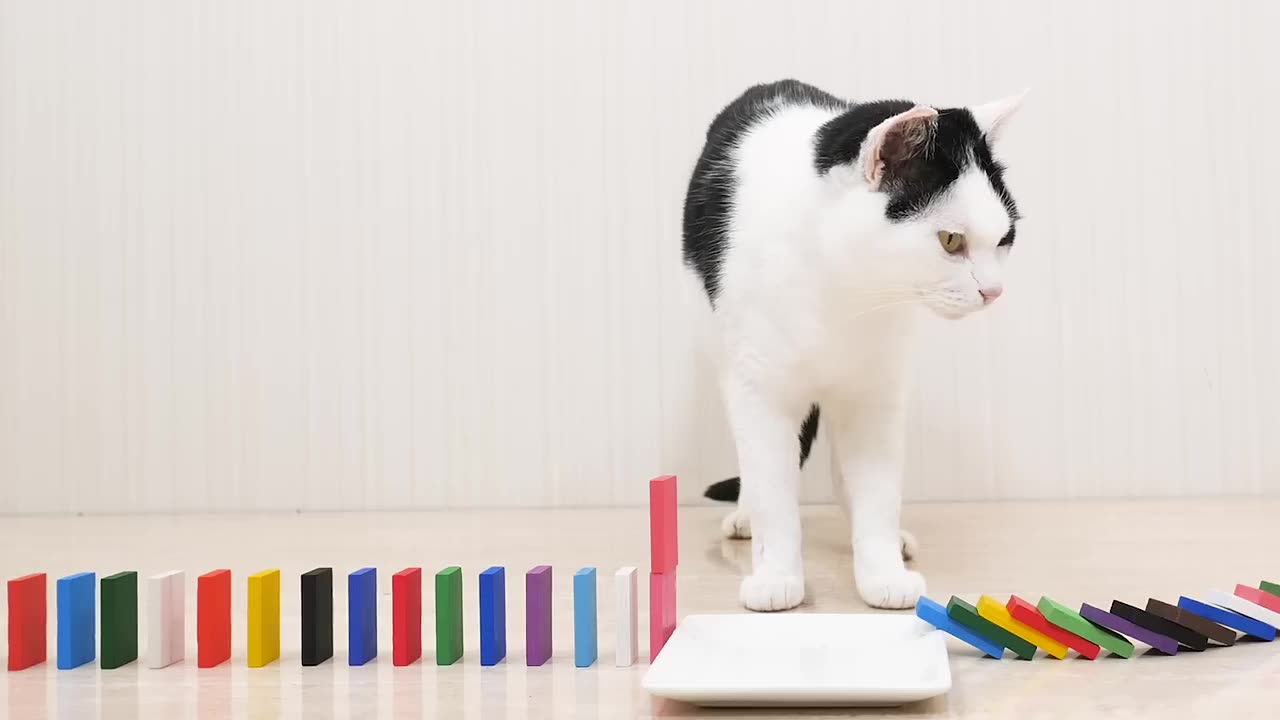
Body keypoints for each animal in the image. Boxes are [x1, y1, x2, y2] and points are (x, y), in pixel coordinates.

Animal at [686, 82, 1024, 609]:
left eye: (1005, 239)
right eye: (951, 240)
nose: (994, 291)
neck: (846, 290)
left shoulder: (876, 394)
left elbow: (875, 490)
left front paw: (882, 569)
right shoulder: (759, 389)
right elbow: (772, 490)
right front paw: (776, 575)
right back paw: (745, 518)